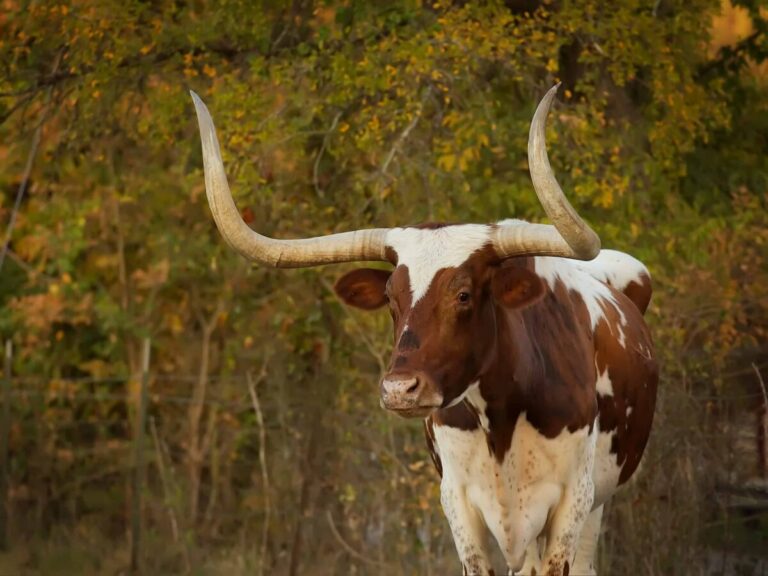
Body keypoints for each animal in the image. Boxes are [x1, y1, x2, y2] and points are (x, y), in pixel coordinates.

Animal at [190, 85, 658, 576]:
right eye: (391, 298)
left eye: (465, 294)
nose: (400, 389)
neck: (503, 418)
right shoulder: (459, 503)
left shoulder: (572, 501)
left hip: (594, 505)